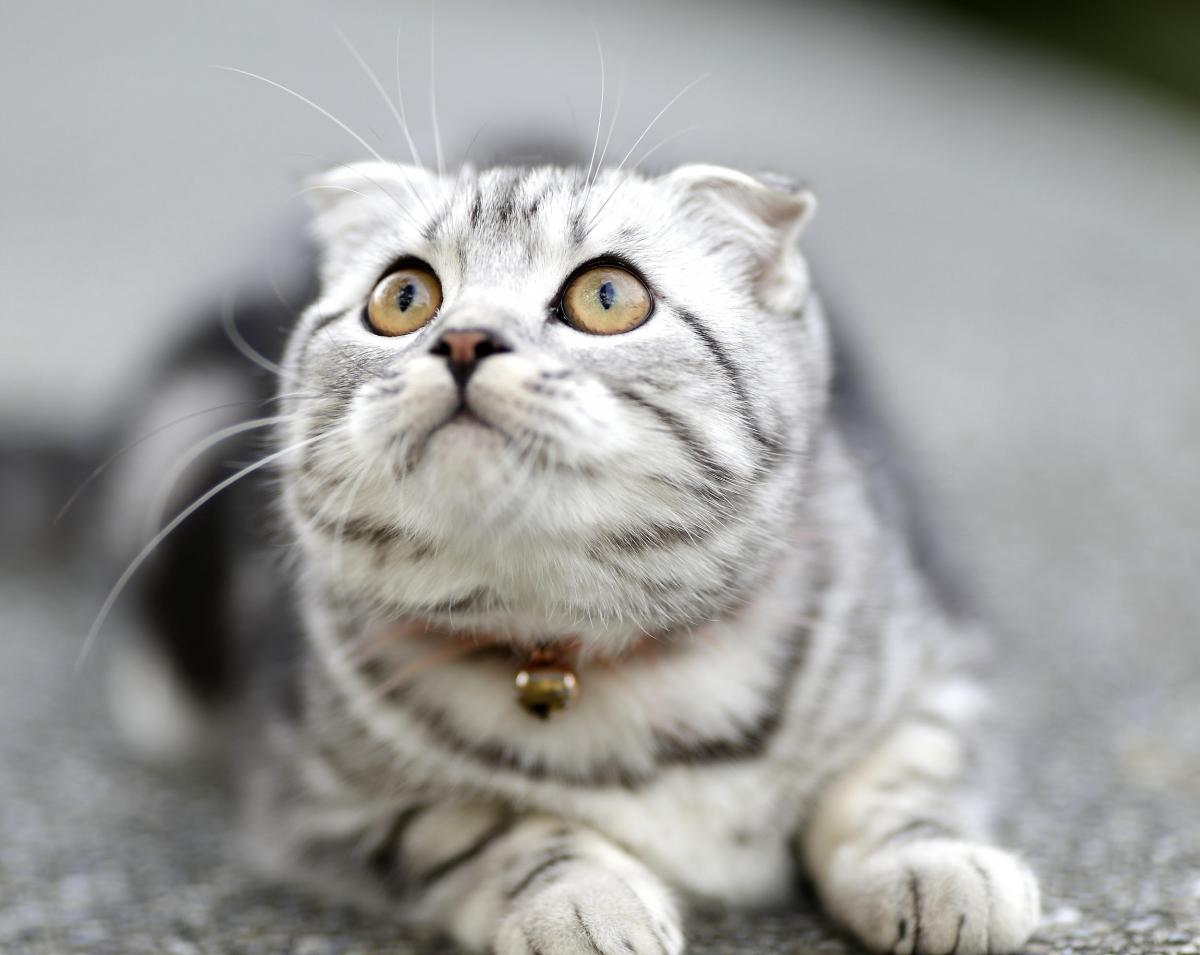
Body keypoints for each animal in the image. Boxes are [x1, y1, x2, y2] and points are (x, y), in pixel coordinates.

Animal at [100, 160, 1041, 950]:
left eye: (608, 295)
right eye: (403, 297)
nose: (464, 340)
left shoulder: (944, 668)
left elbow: (896, 778)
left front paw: (934, 864)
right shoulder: (315, 793)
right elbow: (488, 823)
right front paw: (585, 900)